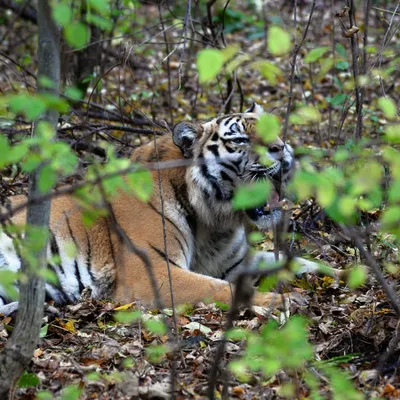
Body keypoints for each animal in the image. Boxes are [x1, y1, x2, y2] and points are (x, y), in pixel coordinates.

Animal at [0, 103, 340, 316]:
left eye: (275, 130)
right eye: (241, 139)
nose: (282, 148)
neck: (213, 221)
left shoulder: (234, 262)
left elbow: (300, 262)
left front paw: (344, 274)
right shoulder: (153, 272)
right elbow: (220, 289)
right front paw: (284, 300)